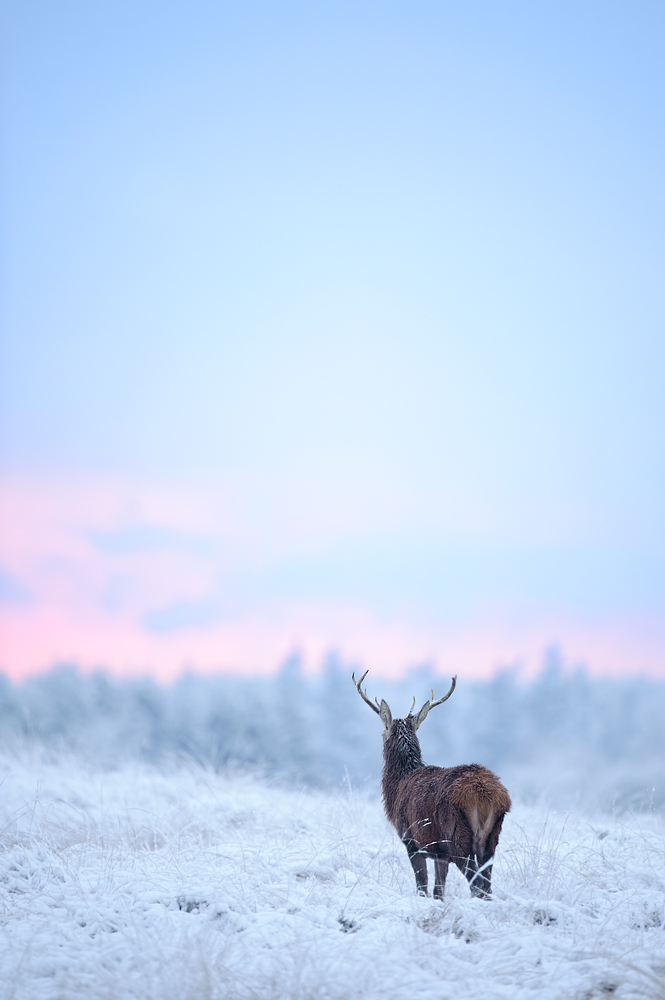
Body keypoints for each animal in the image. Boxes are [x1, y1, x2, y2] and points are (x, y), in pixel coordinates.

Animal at [353, 670, 511, 900]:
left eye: (383, 730)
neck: (398, 785)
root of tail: (488, 796)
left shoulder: (412, 840)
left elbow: (422, 886)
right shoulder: (440, 853)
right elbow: (438, 890)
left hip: (458, 836)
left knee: (476, 885)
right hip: (491, 839)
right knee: (487, 886)